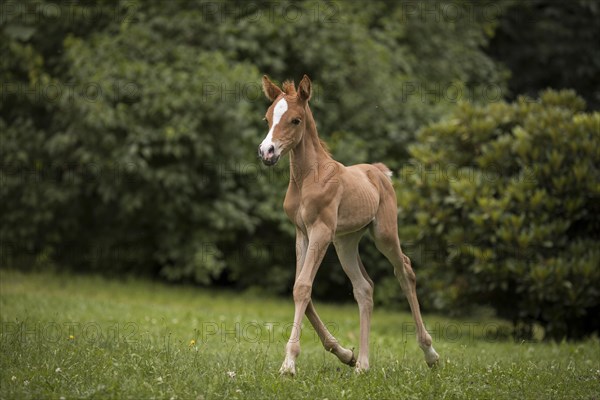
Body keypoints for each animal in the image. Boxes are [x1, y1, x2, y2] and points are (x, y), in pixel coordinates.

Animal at [255, 74, 438, 376]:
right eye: (268, 118)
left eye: (295, 120)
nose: (266, 152)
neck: (308, 177)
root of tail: (378, 171)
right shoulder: (302, 233)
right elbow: (301, 288)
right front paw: (344, 353)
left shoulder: (321, 231)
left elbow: (302, 287)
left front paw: (289, 363)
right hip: (346, 242)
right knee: (364, 288)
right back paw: (361, 364)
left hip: (384, 234)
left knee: (405, 271)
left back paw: (430, 353)